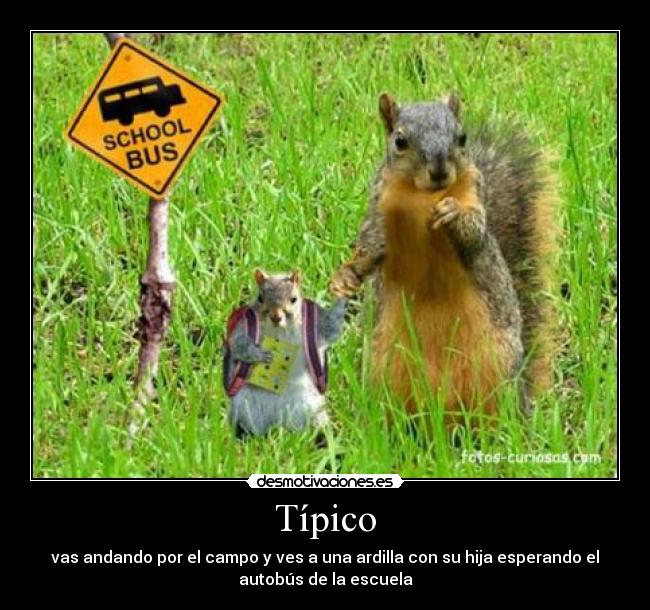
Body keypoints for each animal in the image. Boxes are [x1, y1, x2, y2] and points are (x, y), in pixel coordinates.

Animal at [226, 270, 346, 437]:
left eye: (294, 299)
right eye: (260, 298)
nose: (276, 317)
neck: (280, 329)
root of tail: (277, 423)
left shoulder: (316, 326)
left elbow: (332, 330)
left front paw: (344, 297)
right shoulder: (244, 326)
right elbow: (238, 345)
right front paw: (259, 354)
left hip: (311, 408)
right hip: (244, 407)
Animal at [330, 92, 557, 418]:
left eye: (461, 137)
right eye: (400, 141)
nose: (439, 171)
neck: (422, 198)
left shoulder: (475, 192)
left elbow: (474, 230)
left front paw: (453, 212)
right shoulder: (378, 212)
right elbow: (371, 245)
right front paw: (348, 275)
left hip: (498, 370)